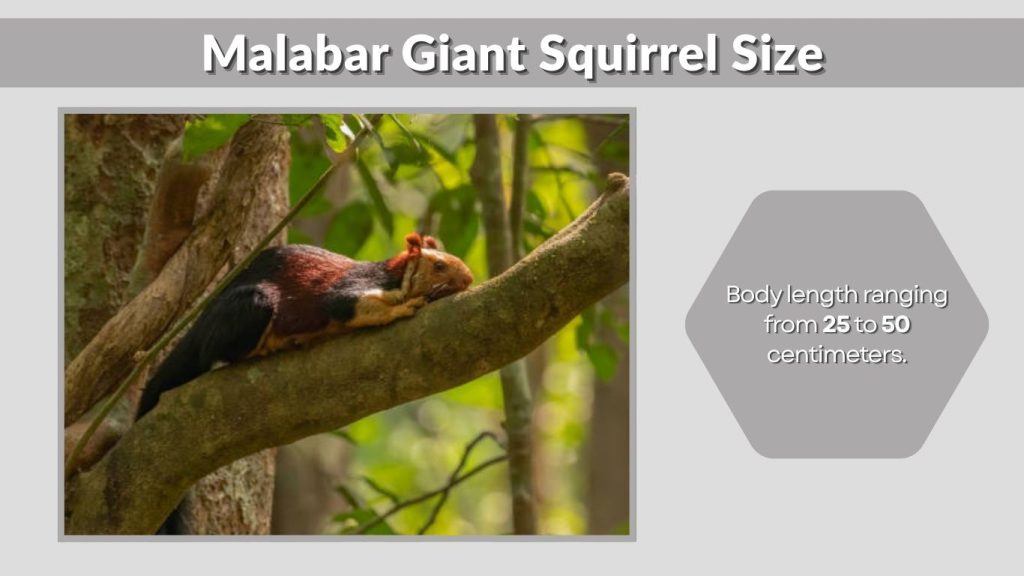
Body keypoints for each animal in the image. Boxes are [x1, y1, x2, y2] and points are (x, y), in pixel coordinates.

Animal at [136, 232, 473, 421]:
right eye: (439, 266)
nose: (469, 279)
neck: (396, 276)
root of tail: (202, 321)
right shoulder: (353, 288)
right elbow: (346, 305)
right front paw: (403, 308)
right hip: (249, 307)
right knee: (214, 352)